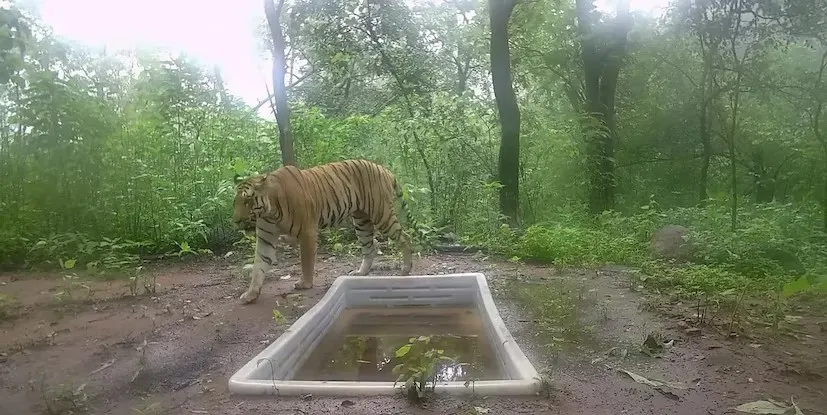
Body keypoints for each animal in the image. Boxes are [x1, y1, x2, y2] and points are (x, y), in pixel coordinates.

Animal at [232, 159, 415, 304]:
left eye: (247, 201)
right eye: (236, 202)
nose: (236, 221)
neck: (270, 211)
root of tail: (385, 169)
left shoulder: (307, 232)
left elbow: (306, 261)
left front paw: (305, 283)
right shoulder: (265, 237)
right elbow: (258, 267)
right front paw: (251, 294)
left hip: (381, 214)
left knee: (404, 237)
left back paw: (405, 269)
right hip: (361, 221)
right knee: (370, 247)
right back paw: (360, 272)